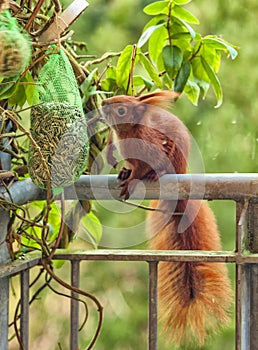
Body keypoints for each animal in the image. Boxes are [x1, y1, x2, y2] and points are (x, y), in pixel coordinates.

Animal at [101, 91, 232, 348]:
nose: (102, 103)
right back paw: (125, 171)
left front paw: (134, 179)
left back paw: (152, 175)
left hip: (173, 160)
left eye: (122, 110)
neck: (130, 133)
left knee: (158, 169)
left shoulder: (154, 145)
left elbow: (144, 167)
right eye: (117, 96)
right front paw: (118, 163)